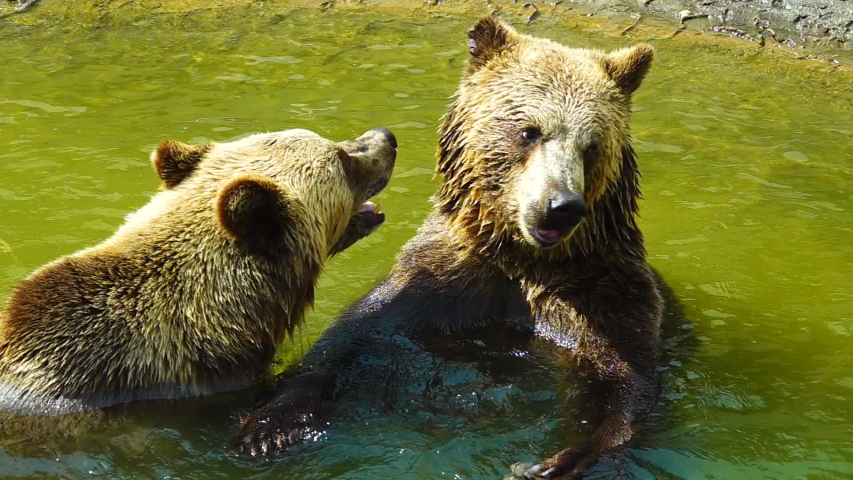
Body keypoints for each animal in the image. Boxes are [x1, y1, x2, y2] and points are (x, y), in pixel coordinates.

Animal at [231, 18, 660, 479]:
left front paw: (562, 459)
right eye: (529, 131)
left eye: (593, 145)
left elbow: (625, 381)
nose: (561, 206)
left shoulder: (602, 295)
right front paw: (268, 427)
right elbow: (347, 341)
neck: (523, 260)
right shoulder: (441, 281)